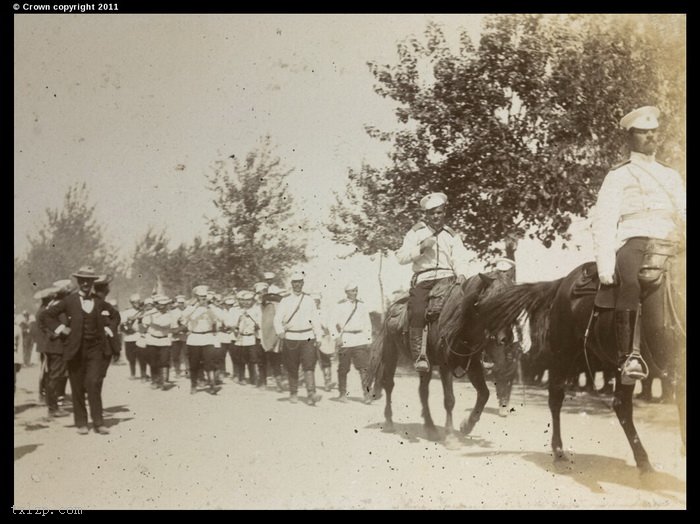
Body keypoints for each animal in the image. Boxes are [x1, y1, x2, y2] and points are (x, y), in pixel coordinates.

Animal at [364, 272, 512, 440]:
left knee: (423, 392)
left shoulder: (472, 364)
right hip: (391, 351)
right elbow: (449, 400)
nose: (505, 338)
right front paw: (451, 435)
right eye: (494, 302)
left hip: (425, 366)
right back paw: (389, 422)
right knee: (388, 384)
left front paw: (466, 426)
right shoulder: (445, 366)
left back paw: (430, 428)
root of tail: (392, 310)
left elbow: (484, 394)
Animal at [476, 252, 684, 472]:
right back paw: (559, 452)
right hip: (564, 354)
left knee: (621, 405)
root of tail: (563, 282)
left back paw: (644, 462)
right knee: (556, 398)